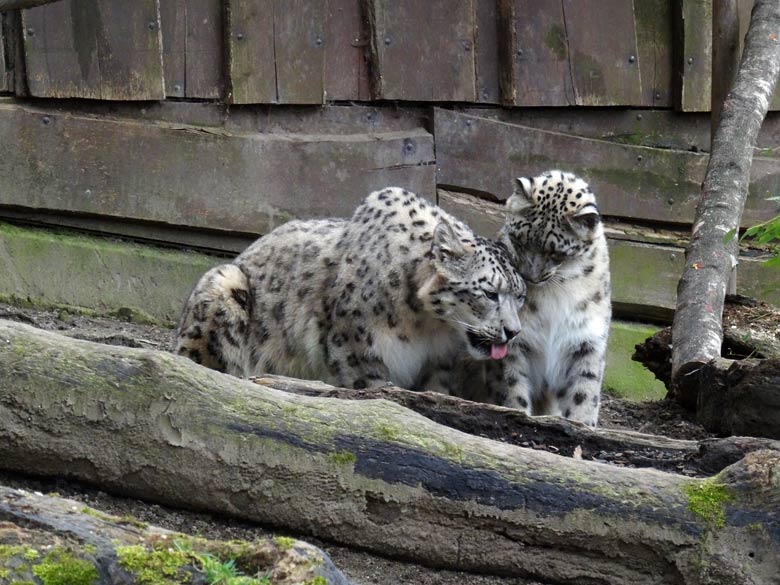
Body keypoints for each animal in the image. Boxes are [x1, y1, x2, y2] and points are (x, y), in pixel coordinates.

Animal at [176, 187, 528, 392]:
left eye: (520, 296)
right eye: (490, 292)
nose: (513, 332)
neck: (428, 327)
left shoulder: (437, 365)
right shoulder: (355, 348)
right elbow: (374, 391)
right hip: (224, 284)